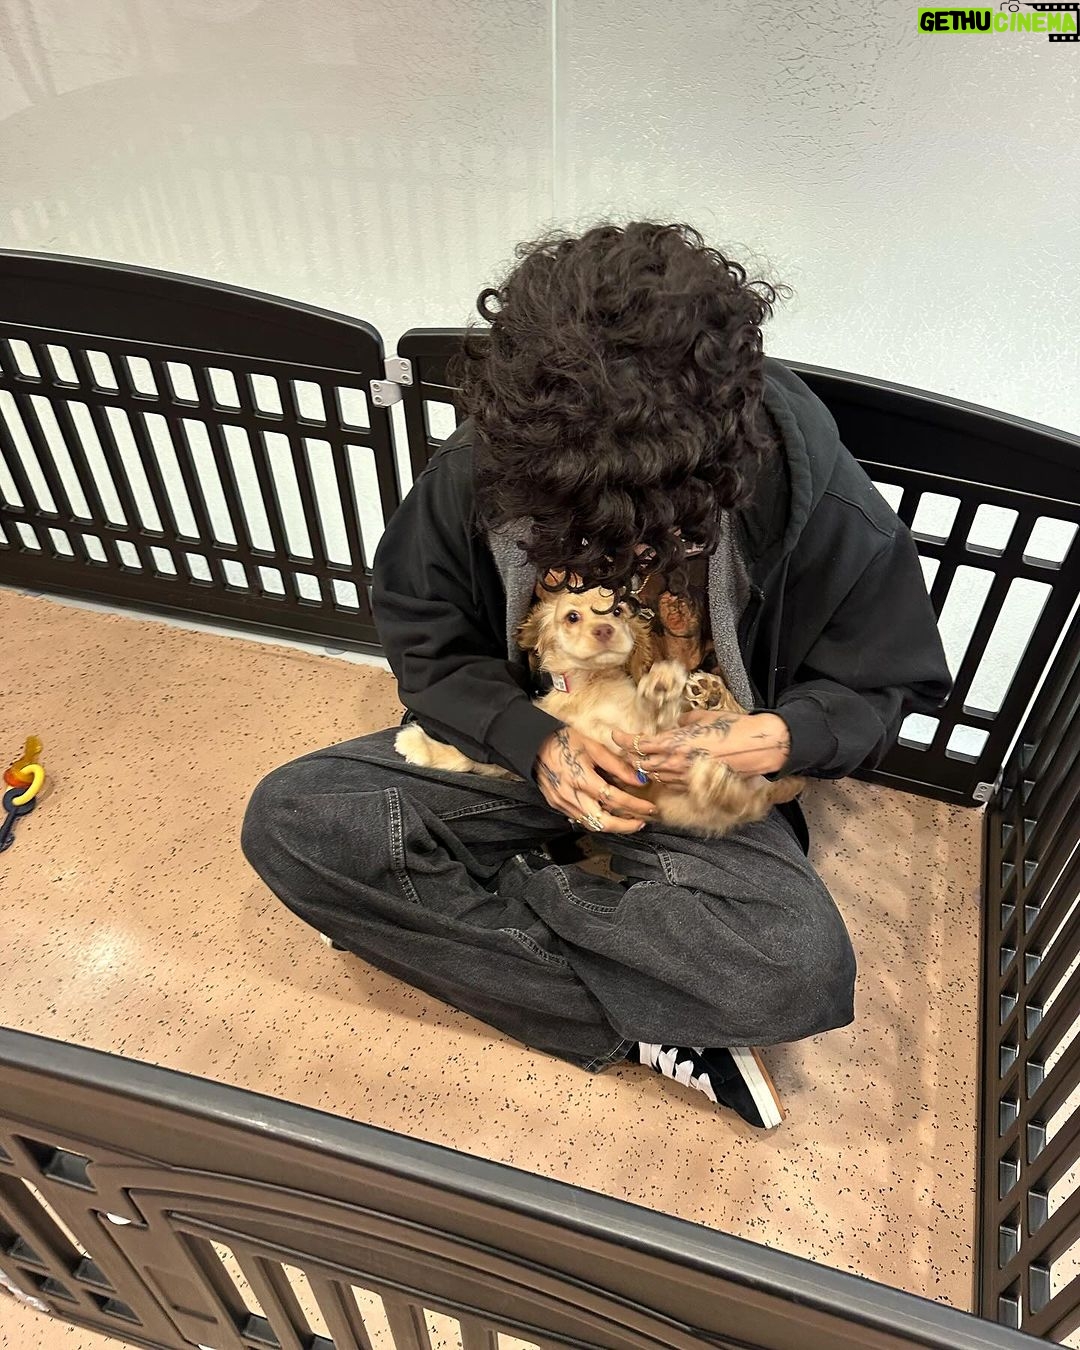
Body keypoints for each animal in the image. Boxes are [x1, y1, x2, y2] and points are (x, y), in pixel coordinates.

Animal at [395, 585, 805, 837]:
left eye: (619, 611)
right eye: (572, 617)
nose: (606, 630)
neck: (586, 688)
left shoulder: (637, 740)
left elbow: (652, 722)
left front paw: (660, 688)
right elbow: (476, 759)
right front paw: (421, 746)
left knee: (740, 786)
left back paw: (708, 702)